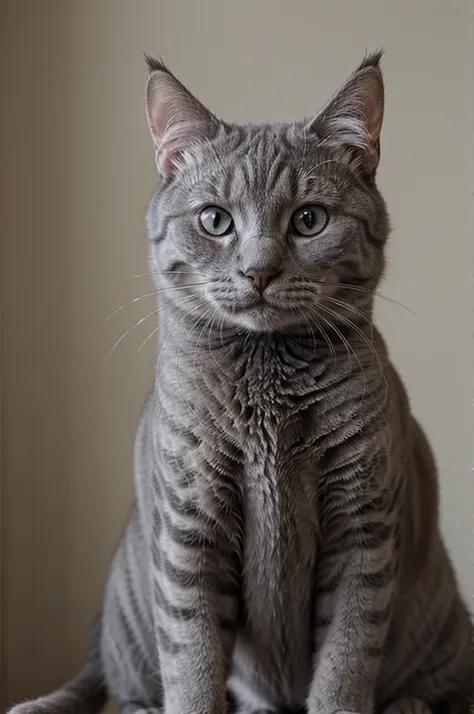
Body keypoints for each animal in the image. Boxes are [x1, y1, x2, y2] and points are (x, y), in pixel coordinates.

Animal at [8, 52, 474, 712]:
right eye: (215, 221)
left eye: (309, 220)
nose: (258, 271)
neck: (266, 393)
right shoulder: (190, 530)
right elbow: (193, 660)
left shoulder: (362, 530)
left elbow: (347, 661)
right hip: (130, 609)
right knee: (112, 684)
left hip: (440, 622)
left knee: (445, 686)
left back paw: (409, 704)